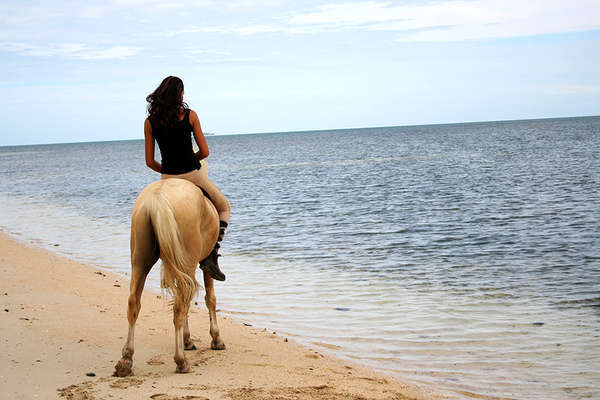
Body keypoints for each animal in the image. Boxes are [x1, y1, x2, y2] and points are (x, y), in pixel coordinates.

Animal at [113, 167, 224, 376]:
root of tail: (157, 199)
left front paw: (187, 340)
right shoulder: (203, 264)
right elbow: (210, 299)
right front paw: (216, 339)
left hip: (140, 261)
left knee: (134, 303)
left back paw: (126, 360)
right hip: (186, 262)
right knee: (180, 306)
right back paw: (181, 361)